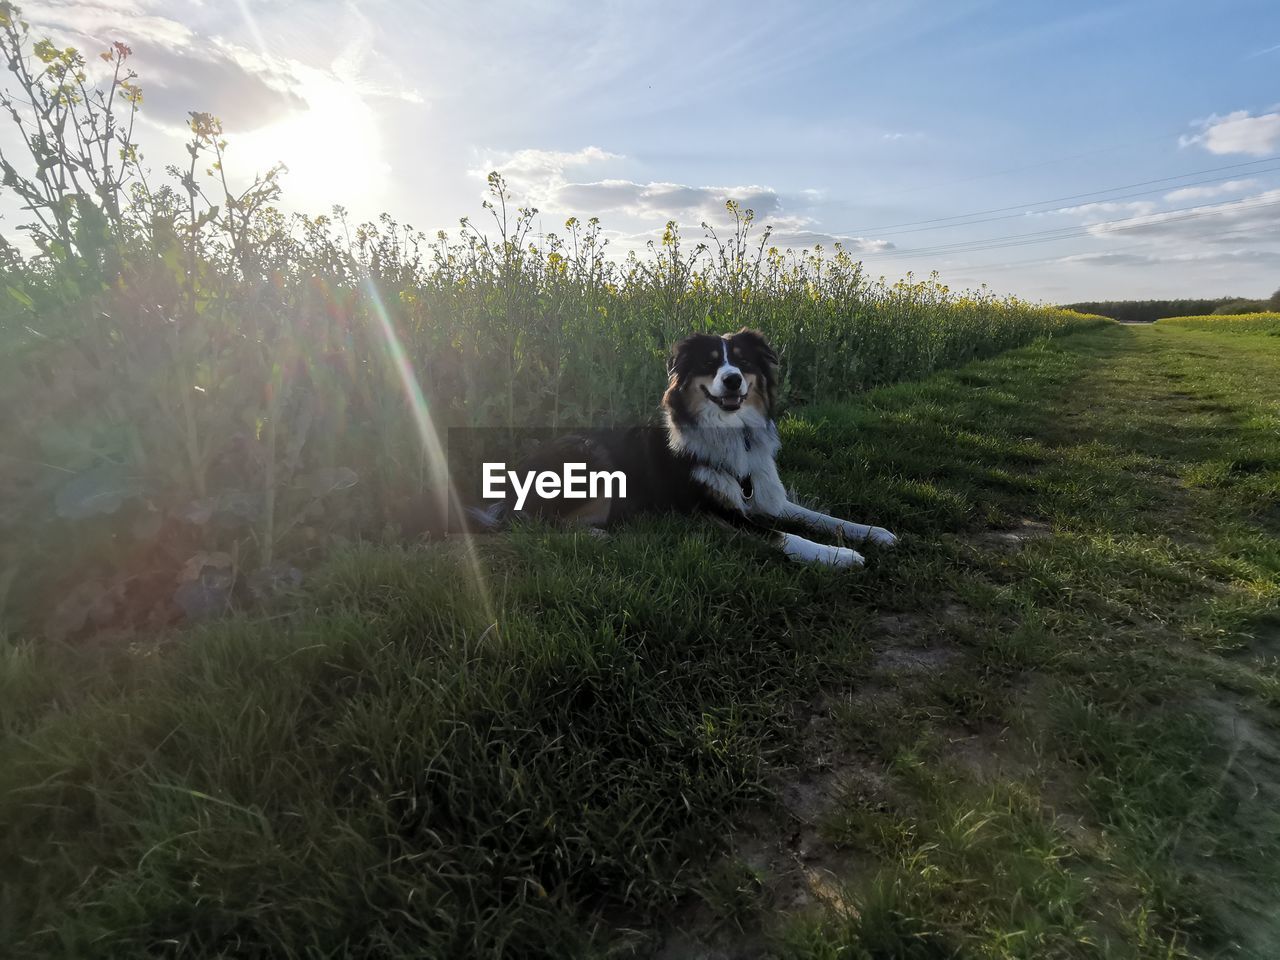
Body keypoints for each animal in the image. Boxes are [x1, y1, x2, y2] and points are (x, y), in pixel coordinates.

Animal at [471, 327, 901, 568]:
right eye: (710, 364)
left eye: (742, 362)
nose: (732, 380)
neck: (732, 433)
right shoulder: (710, 511)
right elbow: (783, 536)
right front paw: (839, 556)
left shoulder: (763, 495)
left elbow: (824, 518)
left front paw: (875, 532)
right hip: (590, 457)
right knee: (529, 523)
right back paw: (594, 536)